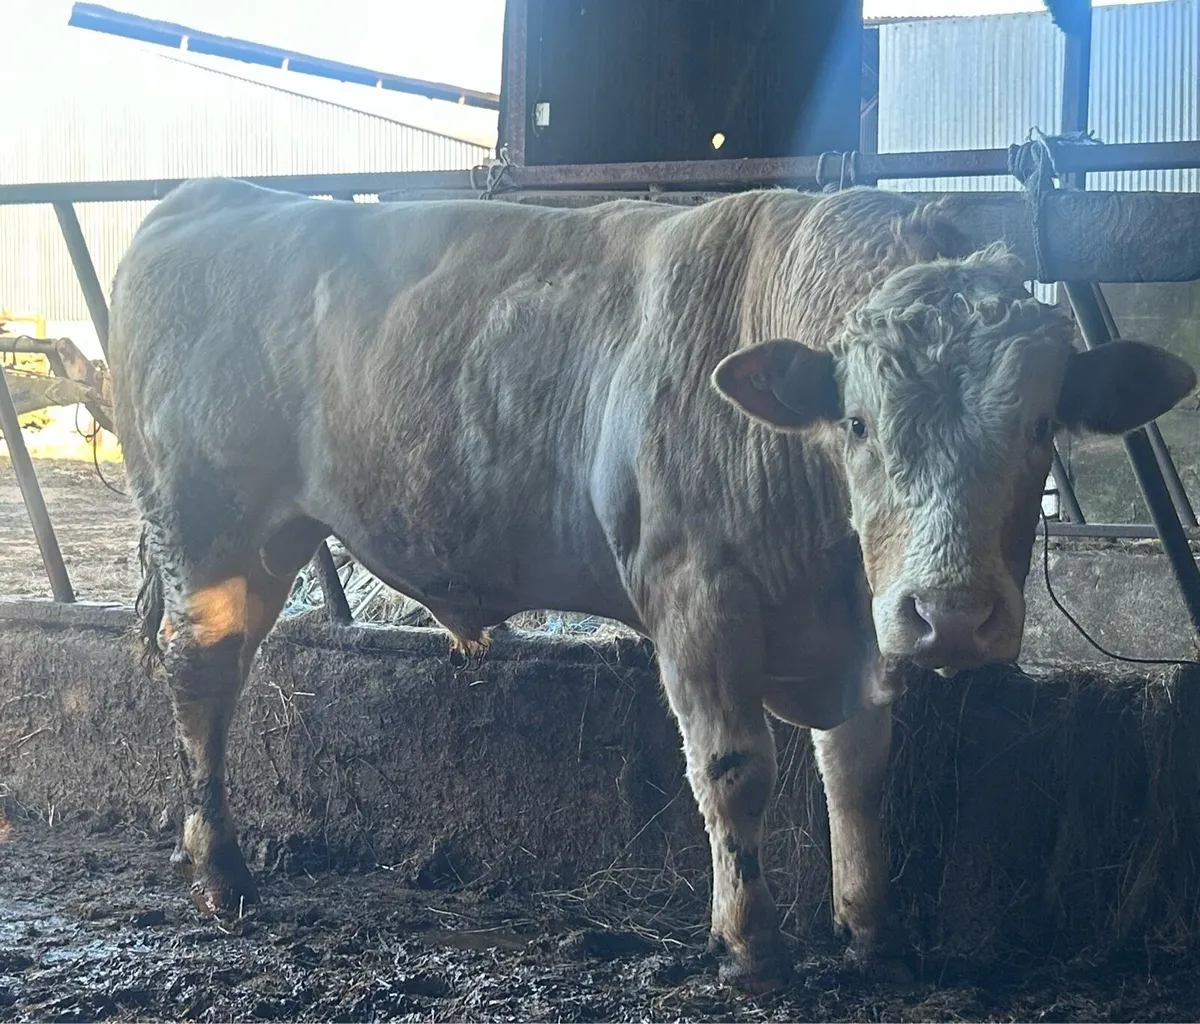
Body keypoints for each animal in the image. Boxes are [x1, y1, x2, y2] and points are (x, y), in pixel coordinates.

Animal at [108, 179, 1196, 991]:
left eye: (1043, 424)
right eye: (856, 423)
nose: (951, 616)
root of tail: (206, 199)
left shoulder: (857, 634)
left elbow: (858, 772)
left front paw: (870, 932)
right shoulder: (696, 596)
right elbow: (736, 770)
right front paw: (750, 946)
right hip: (210, 535)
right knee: (201, 680)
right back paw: (223, 877)